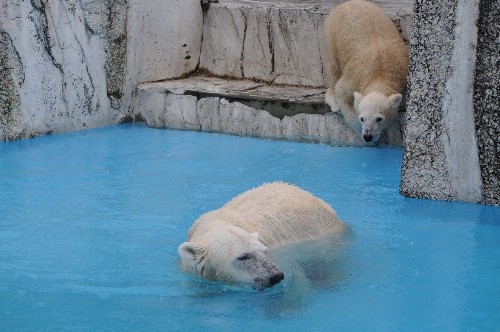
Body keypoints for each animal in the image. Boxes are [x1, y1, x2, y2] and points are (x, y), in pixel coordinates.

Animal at [324, 0, 410, 143]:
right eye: (362, 118)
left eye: (379, 118)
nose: (368, 136)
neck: (380, 73)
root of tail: (347, 3)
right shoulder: (356, 76)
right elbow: (342, 91)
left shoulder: (403, 71)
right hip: (333, 33)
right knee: (333, 67)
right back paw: (333, 101)